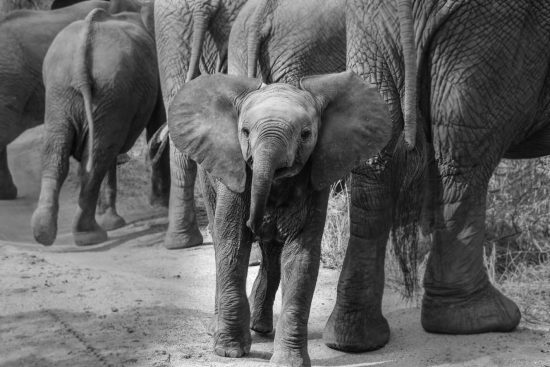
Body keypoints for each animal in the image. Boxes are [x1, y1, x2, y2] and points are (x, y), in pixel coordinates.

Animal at [31, 5, 162, 247]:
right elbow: (157, 124)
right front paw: (160, 208)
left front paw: (112, 221)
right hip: (109, 90)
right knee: (97, 158)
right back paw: (91, 235)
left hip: (63, 91)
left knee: (61, 153)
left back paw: (44, 233)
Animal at [167, 72, 392, 367]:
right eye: (245, 132)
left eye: (306, 134)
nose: (255, 221)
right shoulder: (234, 175)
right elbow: (232, 244)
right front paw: (229, 351)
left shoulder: (315, 182)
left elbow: (300, 257)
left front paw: (288, 362)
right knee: (221, 240)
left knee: (273, 253)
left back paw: (260, 326)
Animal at [324, 0, 544, 354]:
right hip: (489, 30)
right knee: (462, 163)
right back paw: (483, 318)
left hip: (370, 22)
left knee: (377, 161)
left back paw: (352, 339)